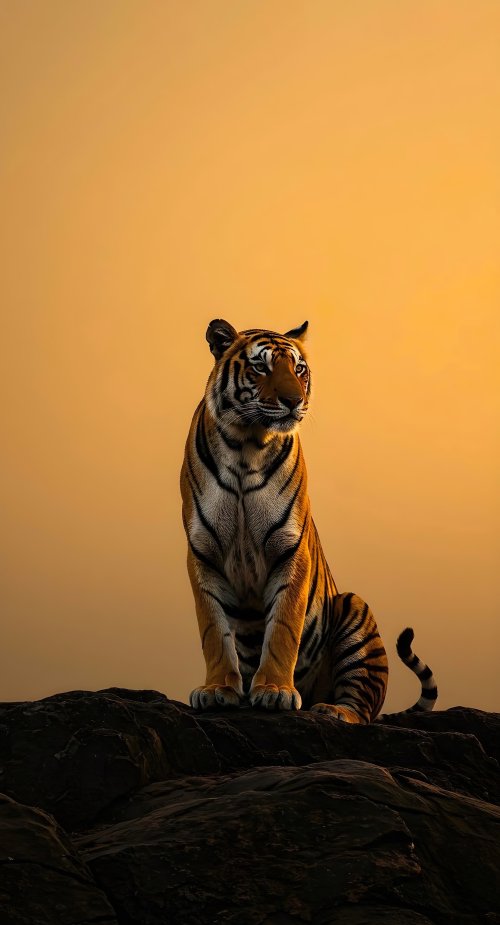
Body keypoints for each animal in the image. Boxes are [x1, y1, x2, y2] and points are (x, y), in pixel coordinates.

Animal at [180, 319, 438, 723]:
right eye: (261, 367)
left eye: (299, 369)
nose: (294, 400)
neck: (246, 447)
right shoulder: (203, 554)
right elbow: (214, 631)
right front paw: (218, 690)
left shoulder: (290, 550)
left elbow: (283, 628)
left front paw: (274, 691)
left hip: (354, 610)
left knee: (361, 709)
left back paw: (331, 710)